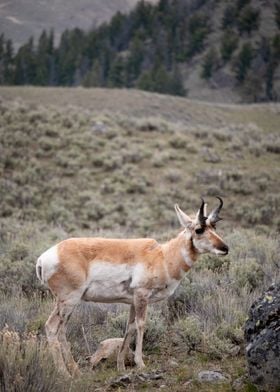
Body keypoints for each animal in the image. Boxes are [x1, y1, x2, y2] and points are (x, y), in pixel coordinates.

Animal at [36, 198, 228, 376]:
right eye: (199, 229)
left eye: (214, 227)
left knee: (60, 330)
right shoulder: (142, 296)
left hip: (66, 304)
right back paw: (65, 373)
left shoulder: (133, 302)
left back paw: (74, 371)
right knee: (53, 327)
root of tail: (45, 257)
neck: (162, 256)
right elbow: (141, 324)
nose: (225, 248)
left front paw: (121, 366)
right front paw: (140, 363)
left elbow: (129, 327)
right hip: (69, 300)